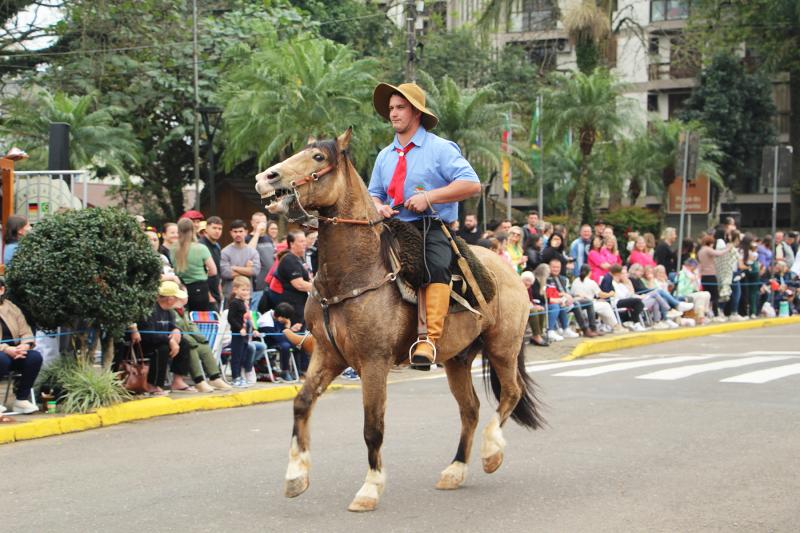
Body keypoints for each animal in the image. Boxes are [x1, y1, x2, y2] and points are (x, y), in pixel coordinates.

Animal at [256, 125, 544, 512]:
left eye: (317, 157)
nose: (266, 178)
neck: (353, 273)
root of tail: (509, 269)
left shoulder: (374, 362)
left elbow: (372, 427)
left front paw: (370, 488)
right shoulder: (328, 356)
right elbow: (301, 403)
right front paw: (295, 476)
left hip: (503, 347)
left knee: (510, 394)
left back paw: (491, 452)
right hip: (458, 358)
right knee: (470, 409)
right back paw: (455, 469)